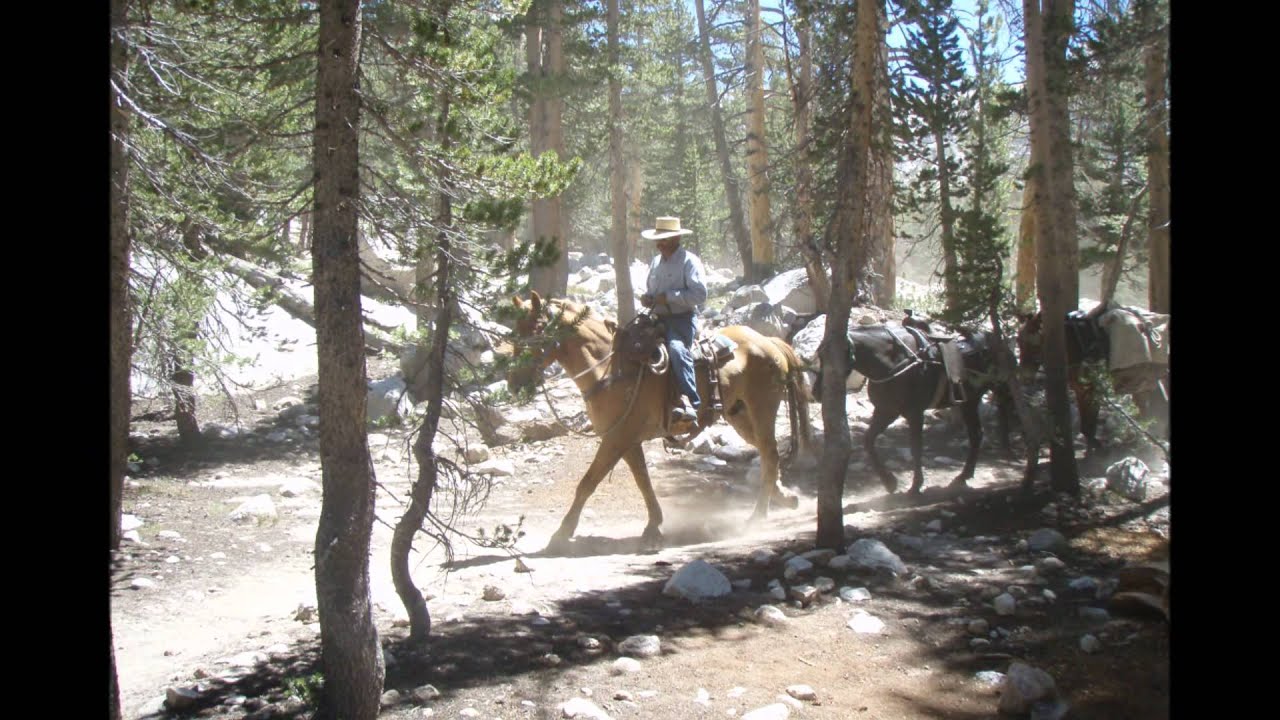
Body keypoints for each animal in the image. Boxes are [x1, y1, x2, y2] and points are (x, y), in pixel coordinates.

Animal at [506, 289, 814, 548]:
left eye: (534, 332)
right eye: (514, 332)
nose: (513, 383)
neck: (610, 369)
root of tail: (768, 341)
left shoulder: (616, 438)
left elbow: (588, 482)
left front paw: (561, 533)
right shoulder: (627, 441)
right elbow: (643, 481)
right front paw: (654, 525)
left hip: (762, 408)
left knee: (770, 453)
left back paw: (757, 517)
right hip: (740, 415)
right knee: (767, 453)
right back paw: (784, 497)